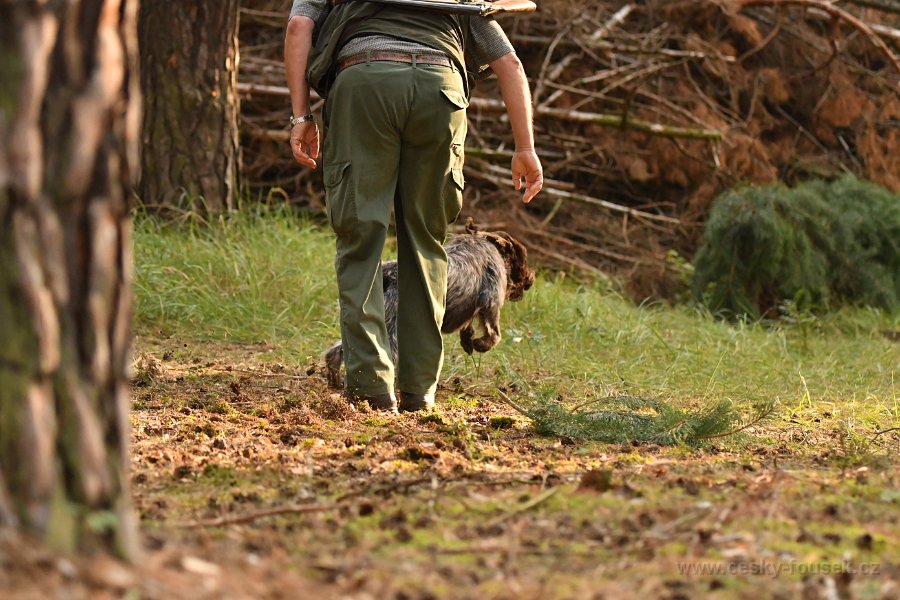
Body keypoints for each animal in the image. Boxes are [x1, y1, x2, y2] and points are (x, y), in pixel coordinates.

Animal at [326, 225, 532, 390]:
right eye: (523, 261)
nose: (531, 281)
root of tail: (387, 274)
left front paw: (468, 339)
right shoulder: (491, 298)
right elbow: (494, 334)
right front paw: (481, 343)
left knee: (338, 352)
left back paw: (335, 380)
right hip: (392, 331)